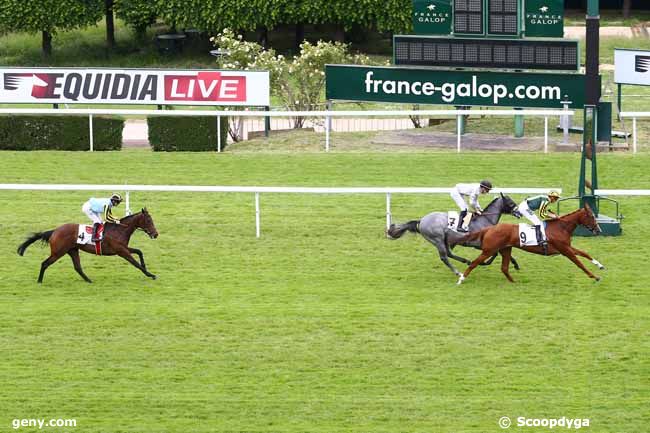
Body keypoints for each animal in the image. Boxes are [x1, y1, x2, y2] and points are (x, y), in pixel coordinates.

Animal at [17, 207, 159, 282]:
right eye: (148, 220)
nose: (156, 234)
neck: (119, 230)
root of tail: (54, 231)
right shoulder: (121, 251)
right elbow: (135, 263)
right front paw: (150, 274)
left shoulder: (123, 248)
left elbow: (139, 251)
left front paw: (146, 267)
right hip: (58, 252)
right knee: (45, 263)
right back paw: (39, 281)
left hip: (72, 250)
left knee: (77, 267)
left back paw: (89, 280)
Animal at [384, 193, 520, 276]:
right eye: (511, 203)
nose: (519, 213)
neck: (485, 220)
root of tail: (421, 220)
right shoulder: (478, 244)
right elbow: (495, 253)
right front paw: (483, 262)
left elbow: (502, 252)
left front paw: (516, 264)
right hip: (437, 239)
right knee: (444, 257)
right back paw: (457, 272)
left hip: (444, 240)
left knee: (449, 254)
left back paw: (466, 261)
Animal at [456, 202, 604, 284]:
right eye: (591, 216)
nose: (599, 230)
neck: (561, 227)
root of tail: (490, 228)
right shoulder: (565, 250)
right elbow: (579, 263)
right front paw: (595, 277)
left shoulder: (567, 247)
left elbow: (584, 253)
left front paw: (600, 265)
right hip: (489, 250)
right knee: (474, 263)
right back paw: (461, 279)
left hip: (505, 249)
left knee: (504, 268)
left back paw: (514, 283)